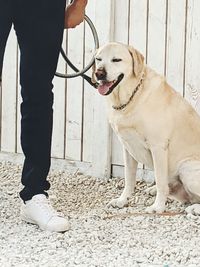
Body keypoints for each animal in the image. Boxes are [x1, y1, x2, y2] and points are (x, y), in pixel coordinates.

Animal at [93, 42, 200, 216]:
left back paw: (194, 208)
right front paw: (122, 201)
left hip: (187, 167)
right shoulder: (128, 148)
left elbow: (161, 181)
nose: (99, 73)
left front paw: (157, 207)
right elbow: (129, 179)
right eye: (98, 59)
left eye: (116, 59)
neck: (130, 99)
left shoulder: (158, 147)